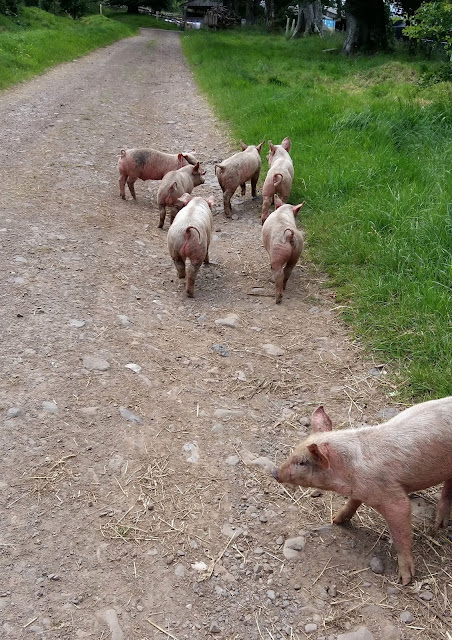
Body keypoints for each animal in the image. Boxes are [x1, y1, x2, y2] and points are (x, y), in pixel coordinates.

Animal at [272, 398, 452, 588]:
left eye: (302, 462)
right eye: (293, 452)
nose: (275, 472)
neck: (349, 473)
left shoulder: (393, 497)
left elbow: (400, 534)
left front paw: (405, 580)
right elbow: (352, 502)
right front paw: (336, 520)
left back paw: (438, 526)